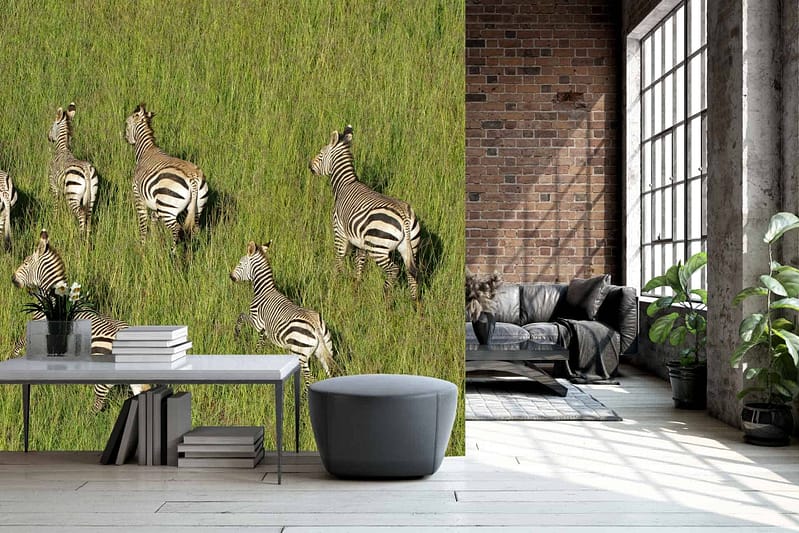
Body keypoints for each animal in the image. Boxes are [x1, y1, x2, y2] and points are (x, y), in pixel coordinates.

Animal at [48, 103, 98, 236]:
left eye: (52, 125)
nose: (48, 137)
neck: (63, 149)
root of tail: (86, 170)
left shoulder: (54, 186)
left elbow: (56, 205)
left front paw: (54, 221)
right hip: (92, 194)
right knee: (88, 215)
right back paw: (87, 238)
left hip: (73, 194)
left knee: (81, 214)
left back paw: (80, 237)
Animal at [124, 103, 208, 248]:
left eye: (127, 123)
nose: (125, 138)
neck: (146, 151)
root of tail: (192, 178)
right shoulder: (155, 202)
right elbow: (153, 221)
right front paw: (154, 243)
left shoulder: (138, 195)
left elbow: (143, 223)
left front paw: (142, 246)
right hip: (198, 206)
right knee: (195, 228)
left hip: (167, 206)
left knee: (176, 229)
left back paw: (173, 252)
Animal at [231, 240, 335, 389]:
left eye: (240, 263)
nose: (231, 277)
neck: (264, 290)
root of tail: (316, 326)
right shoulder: (265, 329)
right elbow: (261, 342)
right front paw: (258, 354)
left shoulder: (257, 322)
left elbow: (241, 317)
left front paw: (236, 335)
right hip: (326, 349)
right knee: (328, 374)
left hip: (300, 354)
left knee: (310, 380)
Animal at [310, 125, 421, 300]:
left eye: (321, 154)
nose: (310, 166)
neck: (345, 184)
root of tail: (405, 217)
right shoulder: (360, 241)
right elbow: (359, 262)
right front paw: (356, 285)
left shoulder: (339, 231)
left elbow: (339, 258)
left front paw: (335, 282)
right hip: (411, 247)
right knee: (412, 274)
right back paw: (415, 303)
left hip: (378, 248)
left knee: (394, 270)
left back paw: (386, 299)